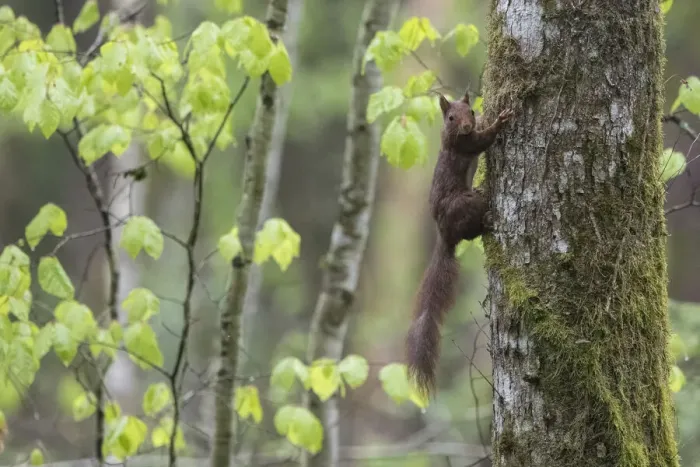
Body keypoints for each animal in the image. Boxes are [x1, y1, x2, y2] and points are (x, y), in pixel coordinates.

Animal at [405, 91, 513, 397]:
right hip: (464, 205)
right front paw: (500, 120)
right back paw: (487, 219)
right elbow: (483, 140)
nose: (466, 125)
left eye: (472, 112)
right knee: (472, 229)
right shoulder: (464, 144)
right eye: (451, 117)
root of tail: (445, 234)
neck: (451, 134)